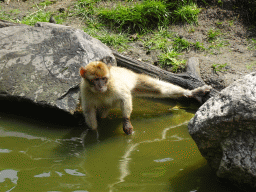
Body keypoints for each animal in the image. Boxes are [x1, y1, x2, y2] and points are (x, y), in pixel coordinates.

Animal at [79, 61, 211, 135]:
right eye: (96, 79)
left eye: (104, 79)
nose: (101, 86)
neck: (101, 92)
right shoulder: (85, 91)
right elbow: (89, 111)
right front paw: (94, 132)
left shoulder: (114, 85)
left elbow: (125, 97)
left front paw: (126, 122)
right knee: (102, 112)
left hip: (136, 79)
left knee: (160, 89)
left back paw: (192, 92)